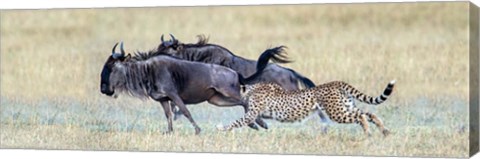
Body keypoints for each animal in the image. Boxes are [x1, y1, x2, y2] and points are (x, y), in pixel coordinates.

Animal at [216, 80, 396, 136]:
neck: (251, 89)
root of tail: (336, 82)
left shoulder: (252, 113)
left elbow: (237, 121)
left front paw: (222, 128)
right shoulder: (255, 113)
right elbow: (253, 120)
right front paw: (262, 126)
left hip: (337, 112)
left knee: (362, 116)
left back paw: (368, 131)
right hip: (345, 107)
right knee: (369, 113)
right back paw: (384, 130)